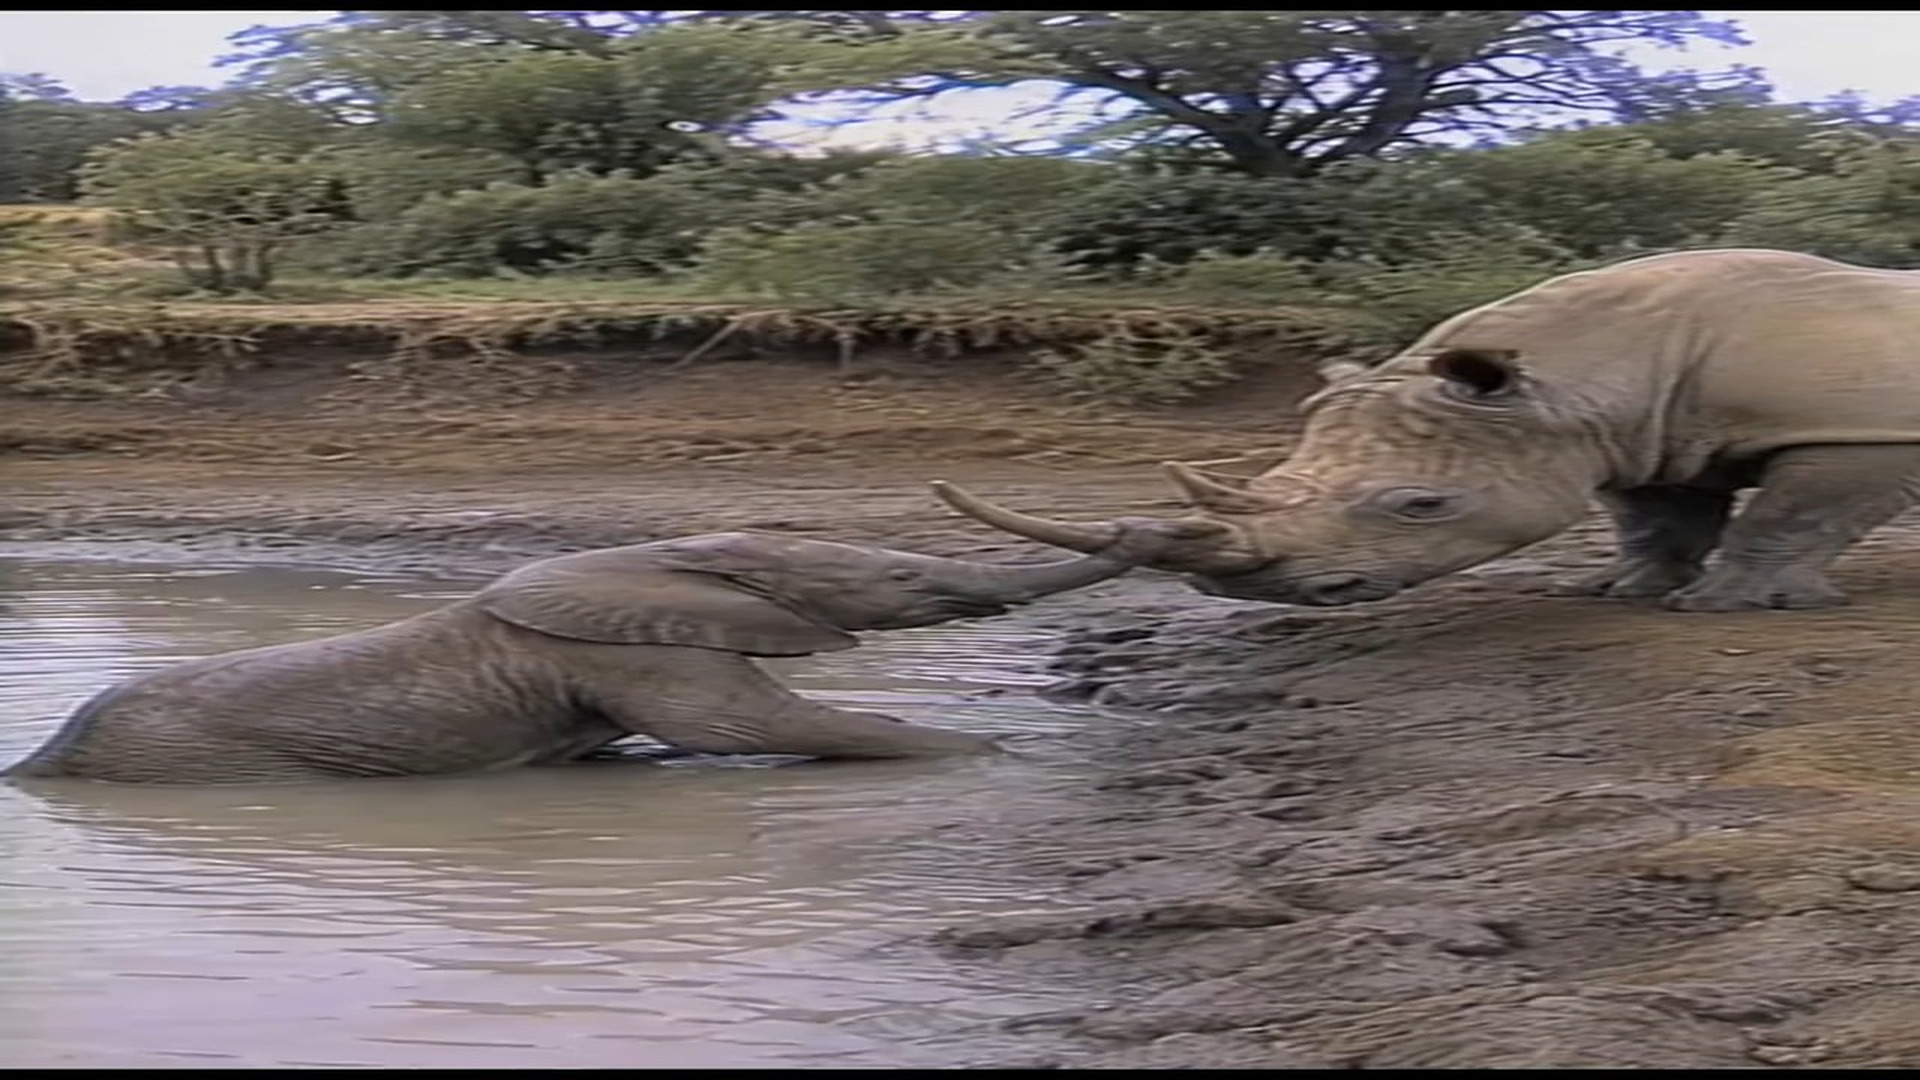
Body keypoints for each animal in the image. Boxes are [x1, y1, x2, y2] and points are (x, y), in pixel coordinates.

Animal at [931, 249, 1920, 612]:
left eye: (1421, 505)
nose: (1256, 591)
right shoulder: (1653, 436)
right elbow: (1657, 518)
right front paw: (1620, 592)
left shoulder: (1858, 430)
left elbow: (1791, 517)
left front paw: (1724, 607)